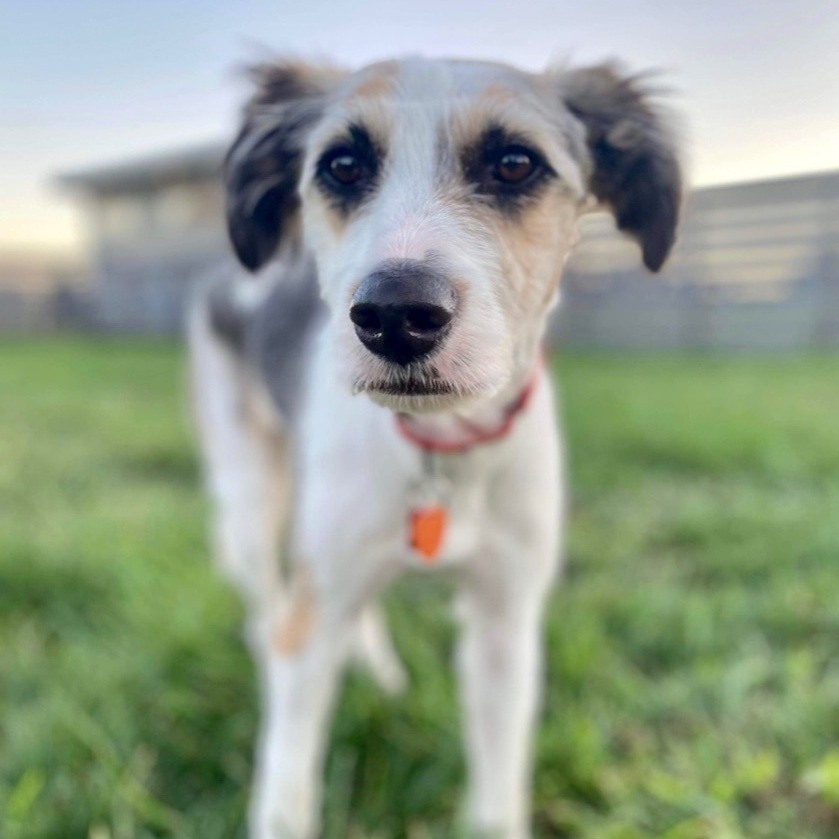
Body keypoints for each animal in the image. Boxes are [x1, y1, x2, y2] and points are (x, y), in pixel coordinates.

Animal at [189, 55, 684, 836]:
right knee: (266, 603)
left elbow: (496, 793)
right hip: (250, 502)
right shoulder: (312, 621)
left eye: (515, 163)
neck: (443, 451)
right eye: (342, 166)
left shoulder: (505, 623)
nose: (394, 315)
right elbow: (287, 785)